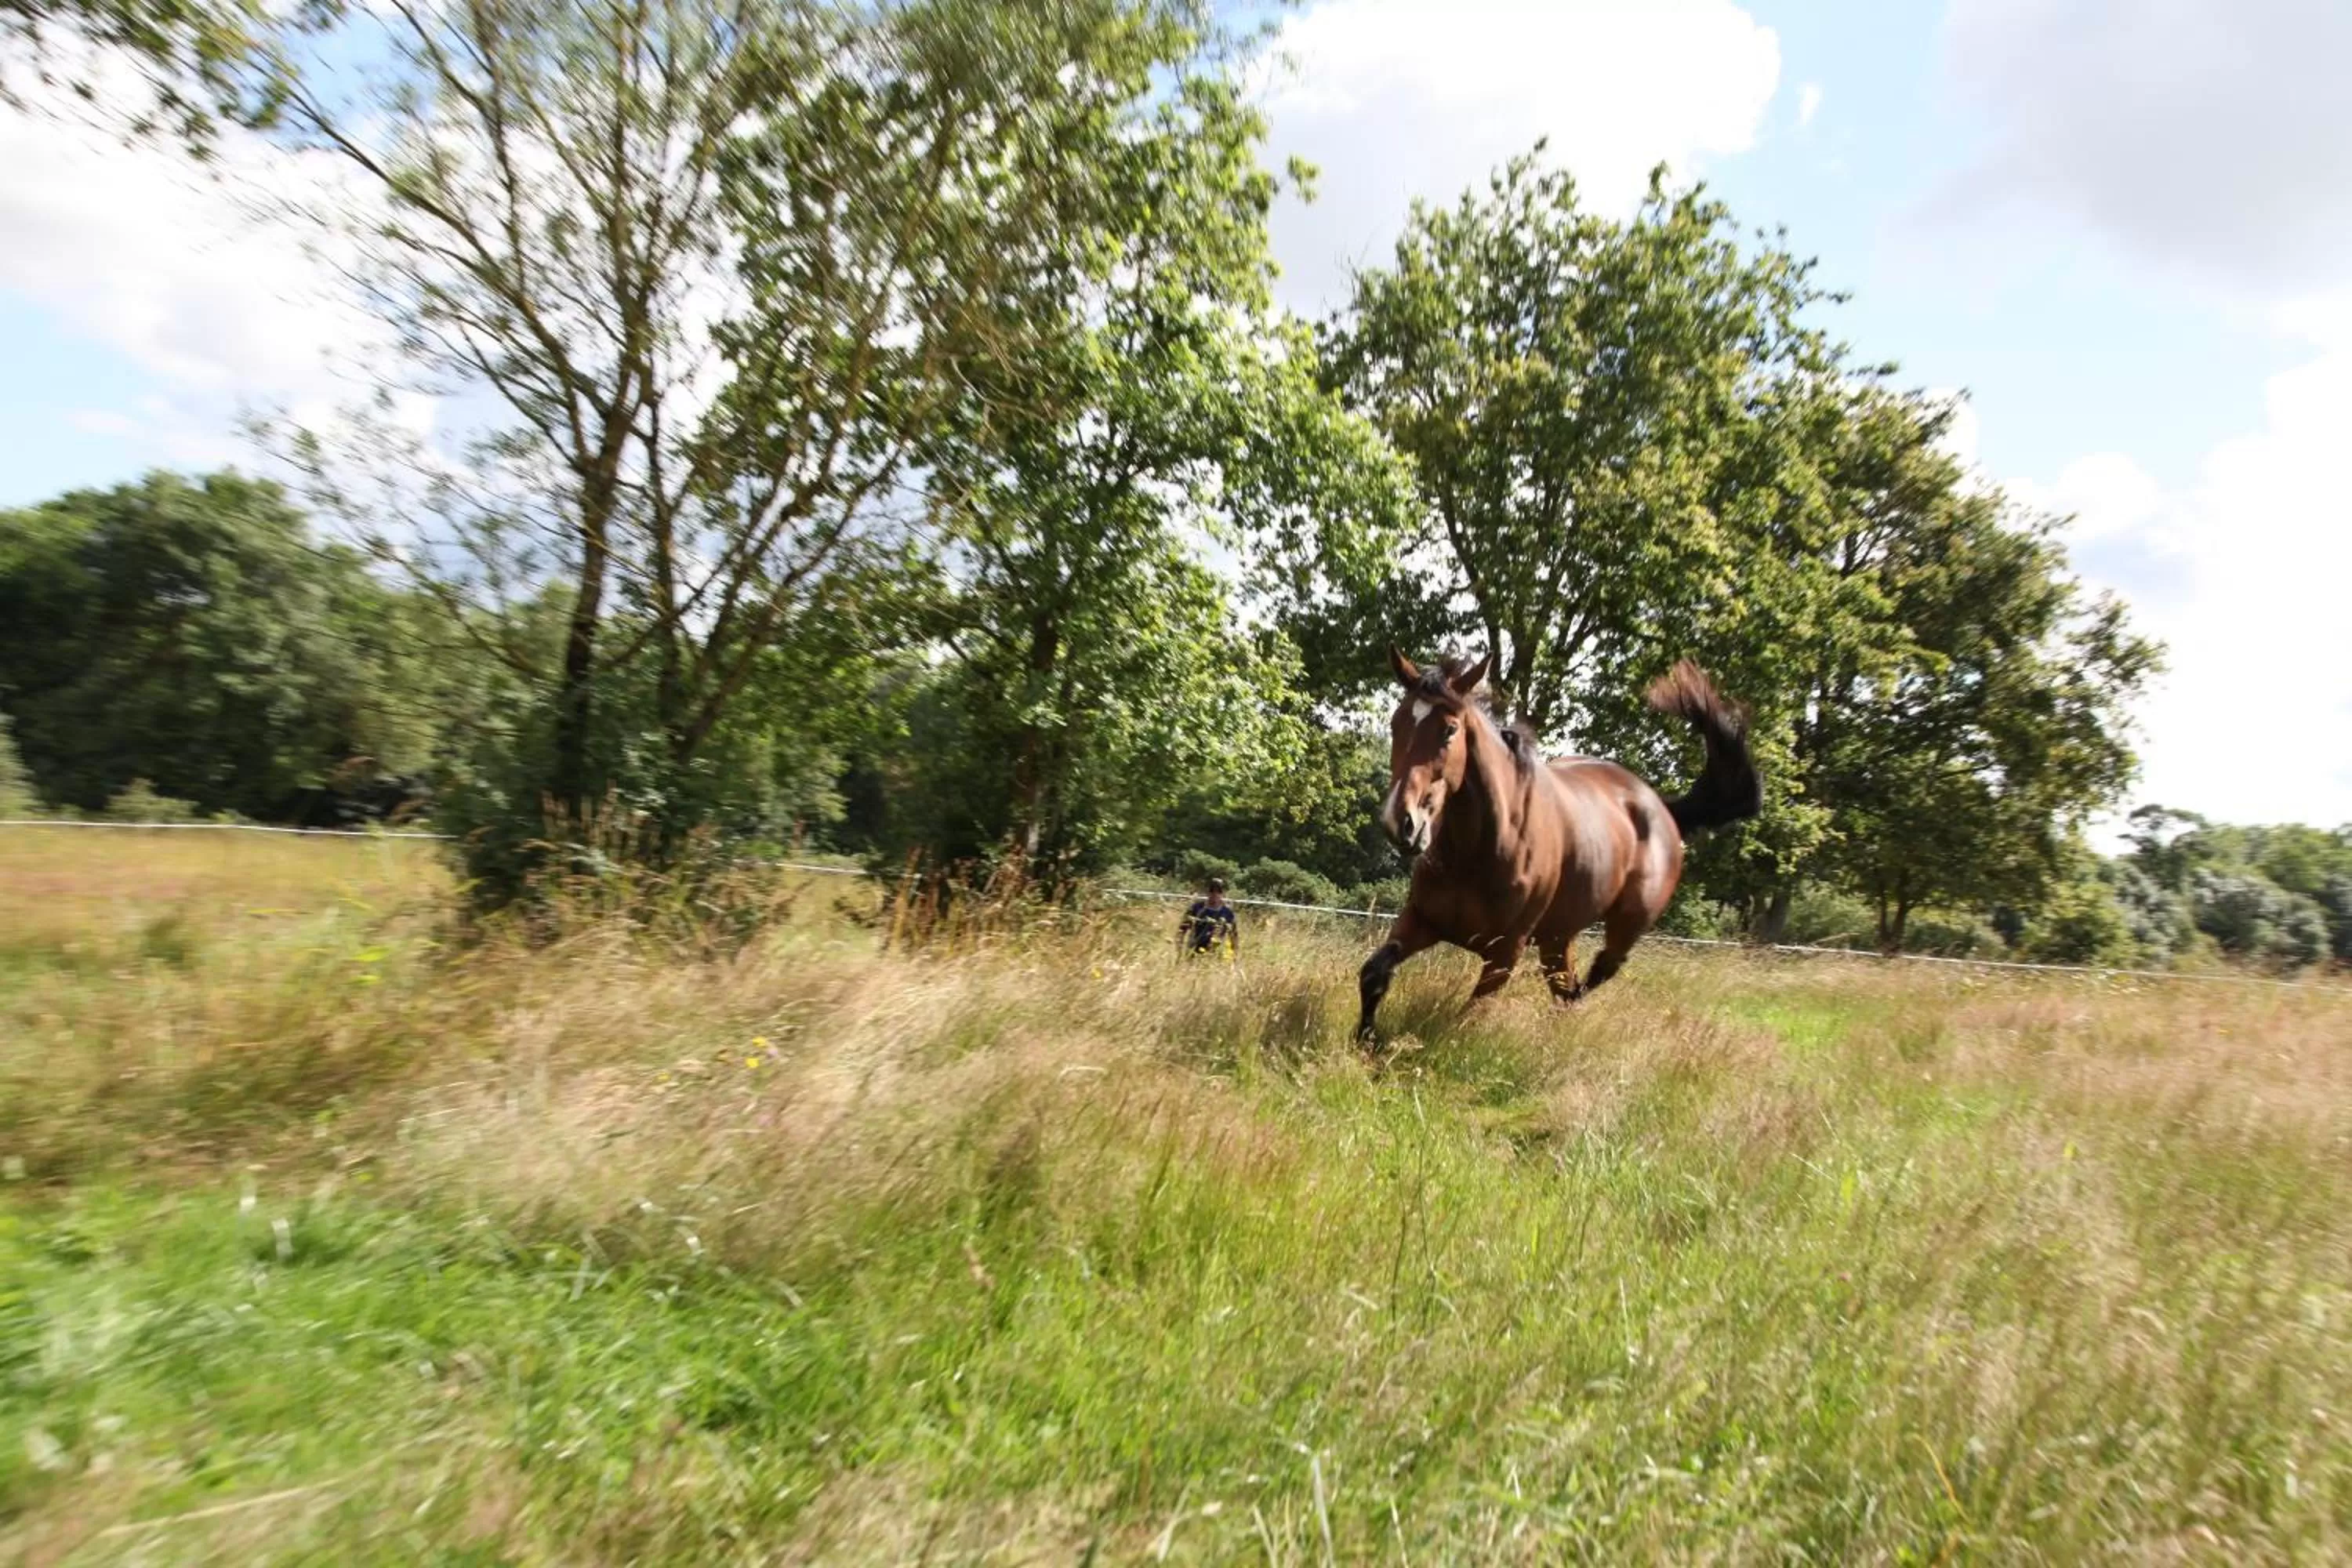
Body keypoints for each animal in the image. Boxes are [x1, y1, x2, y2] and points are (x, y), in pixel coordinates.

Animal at [1355, 649, 1761, 1045]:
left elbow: (1467, 1018)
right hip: (1557, 938)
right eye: (1396, 723)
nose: (1400, 822)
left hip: (1623, 930)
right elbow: (1373, 974)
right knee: (1566, 987)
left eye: (1449, 730)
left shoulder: (1505, 952)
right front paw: (1367, 1040)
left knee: (1585, 984)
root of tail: (1660, 807)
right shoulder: (1421, 920)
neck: (1479, 851)